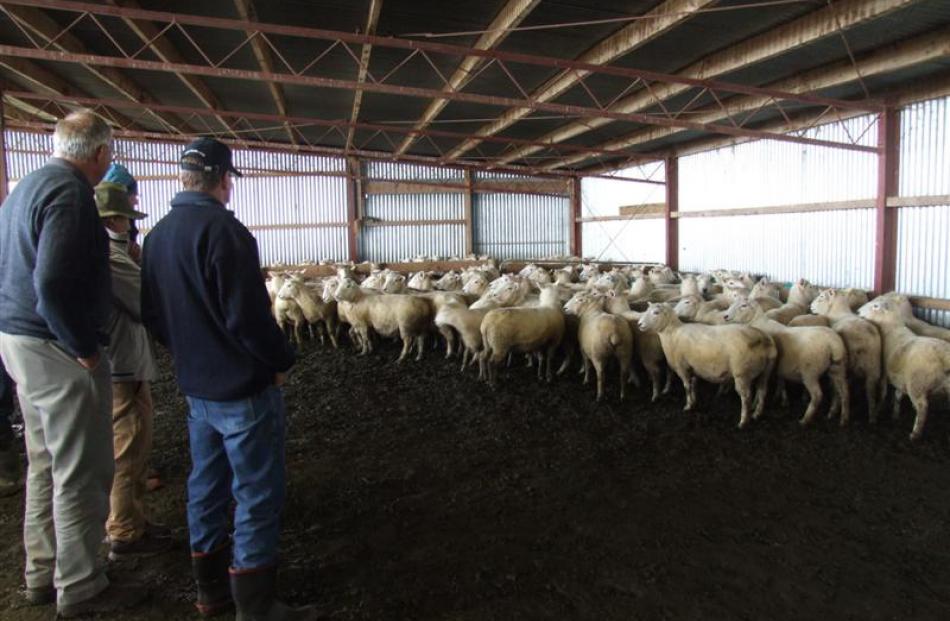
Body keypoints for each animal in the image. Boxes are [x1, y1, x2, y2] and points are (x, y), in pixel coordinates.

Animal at [636, 302, 776, 426]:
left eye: (656, 312)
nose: (639, 324)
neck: (672, 334)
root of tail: (763, 339)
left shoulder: (682, 367)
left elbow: (687, 387)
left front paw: (688, 406)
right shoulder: (693, 367)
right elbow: (693, 386)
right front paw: (694, 401)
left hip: (742, 374)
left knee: (746, 397)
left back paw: (743, 422)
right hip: (765, 372)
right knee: (762, 391)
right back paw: (757, 414)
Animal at [724, 300, 852, 426]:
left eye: (744, 305)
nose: (725, 316)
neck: (757, 323)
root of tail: (833, 343)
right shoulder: (780, 367)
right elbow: (781, 382)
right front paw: (782, 399)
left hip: (810, 372)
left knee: (818, 395)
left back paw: (805, 419)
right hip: (838, 368)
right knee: (842, 391)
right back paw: (840, 417)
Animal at [816, 288, 888, 418]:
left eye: (822, 297)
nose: (811, 307)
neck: (837, 313)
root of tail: (866, 338)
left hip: (842, 364)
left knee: (843, 389)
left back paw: (838, 413)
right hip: (873, 365)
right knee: (871, 390)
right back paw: (872, 415)